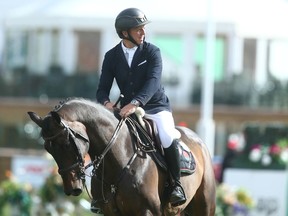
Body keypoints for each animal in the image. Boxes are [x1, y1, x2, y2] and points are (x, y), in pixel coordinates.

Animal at [27, 98, 216, 216]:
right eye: (47, 149)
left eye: (67, 143)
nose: (72, 188)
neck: (118, 160)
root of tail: (196, 138)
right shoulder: (110, 212)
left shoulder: (147, 211)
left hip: (204, 205)